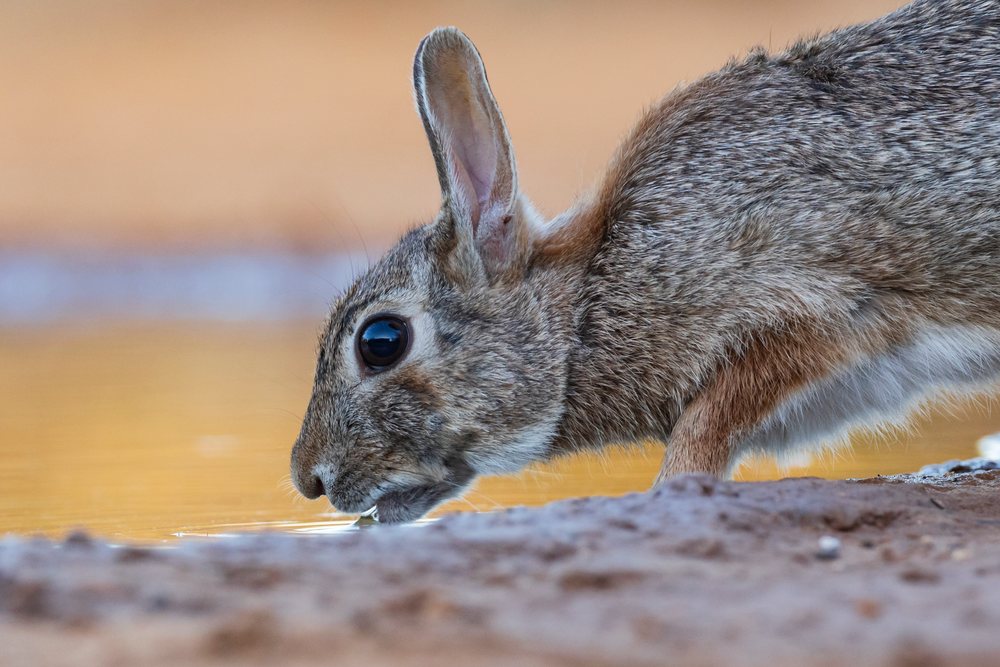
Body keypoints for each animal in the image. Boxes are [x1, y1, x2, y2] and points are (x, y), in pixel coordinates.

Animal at [291, 0, 1000, 523]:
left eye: (382, 341)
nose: (307, 480)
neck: (583, 311)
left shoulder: (807, 311)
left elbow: (701, 432)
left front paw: (668, 492)